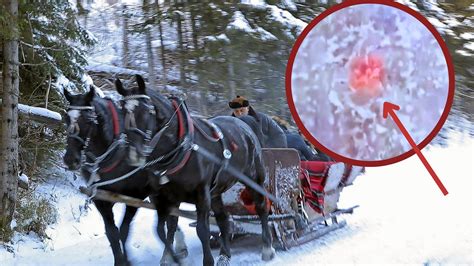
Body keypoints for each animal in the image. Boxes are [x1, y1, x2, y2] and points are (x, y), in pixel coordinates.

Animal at [62, 88, 187, 264]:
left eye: (87, 120)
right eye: (66, 118)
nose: (70, 159)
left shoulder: (135, 196)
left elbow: (124, 230)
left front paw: (126, 261)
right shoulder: (100, 198)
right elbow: (112, 233)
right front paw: (120, 260)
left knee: (172, 222)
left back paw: (168, 256)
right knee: (171, 218)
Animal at [116, 75, 276, 266]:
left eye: (147, 111)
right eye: (121, 110)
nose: (133, 153)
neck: (180, 147)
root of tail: (244, 126)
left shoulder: (201, 194)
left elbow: (202, 230)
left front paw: (206, 260)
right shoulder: (166, 197)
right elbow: (164, 229)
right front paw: (173, 257)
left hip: (254, 178)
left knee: (261, 208)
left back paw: (267, 248)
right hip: (216, 192)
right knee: (224, 219)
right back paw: (224, 255)